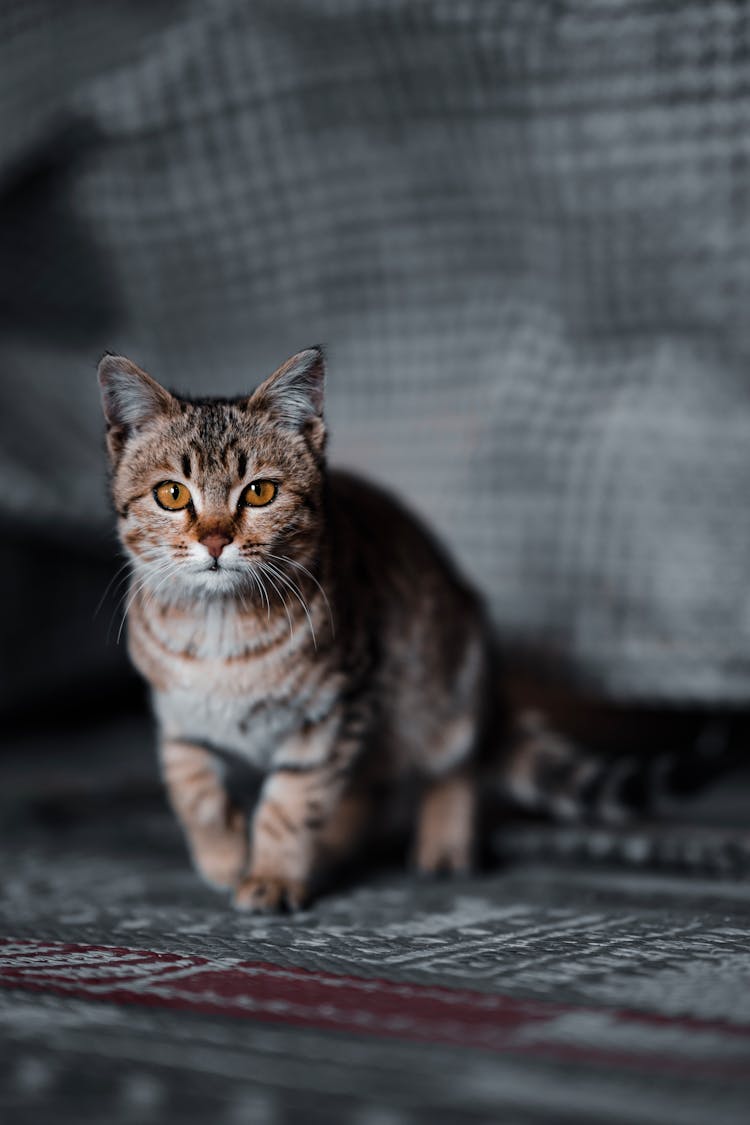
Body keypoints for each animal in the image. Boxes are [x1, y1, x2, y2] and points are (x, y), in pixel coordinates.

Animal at [99, 346, 697, 909]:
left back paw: (440, 842)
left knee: (452, 763)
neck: (219, 628)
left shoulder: (333, 711)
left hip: (438, 690)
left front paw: (271, 875)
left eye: (260, 492)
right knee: (373, 787)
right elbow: (192, 789)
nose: (216, 540)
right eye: (173, 494)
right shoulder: (178, 713)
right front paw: (223, 858)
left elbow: (290, 805)